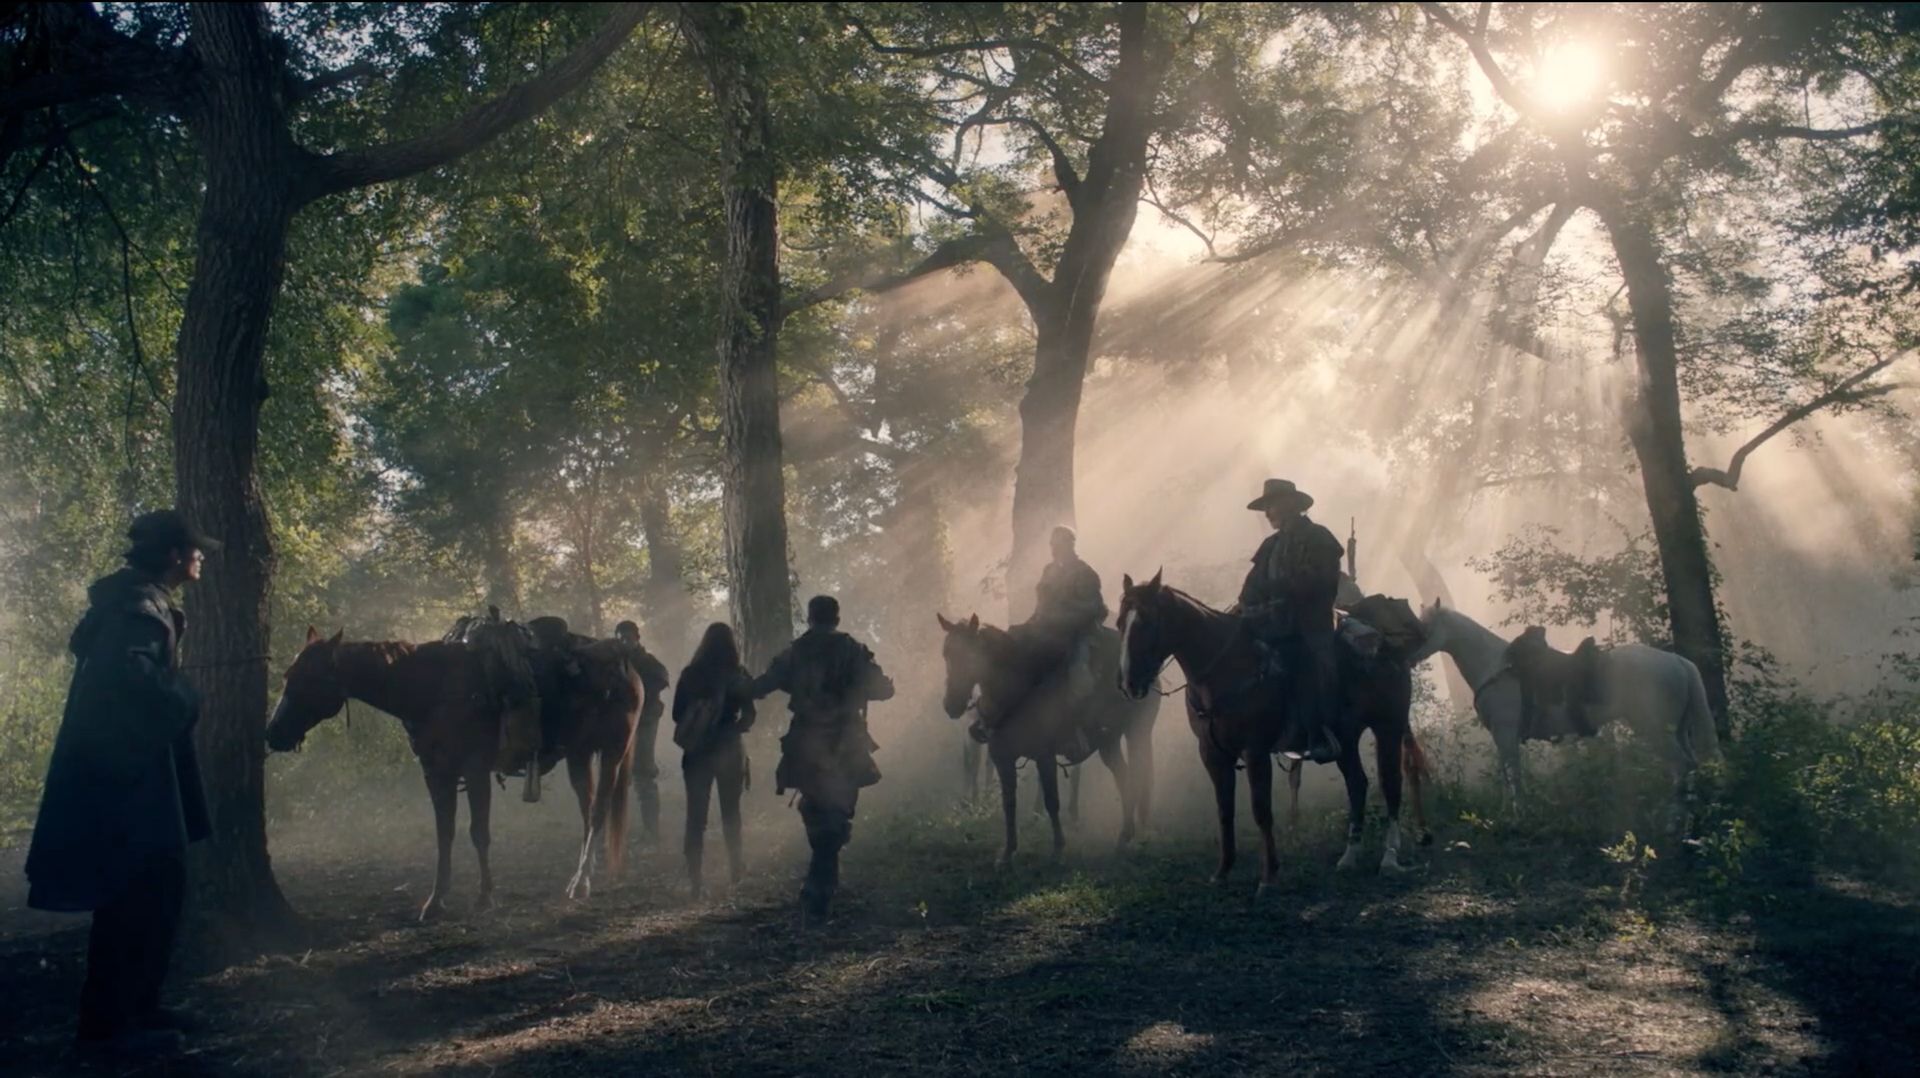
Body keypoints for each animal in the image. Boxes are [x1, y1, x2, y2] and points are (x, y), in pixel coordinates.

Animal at [264, 627, 641, 918]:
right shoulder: (436, 774)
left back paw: (581, 883)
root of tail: (628, 668)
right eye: (287, 676)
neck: (432, 688)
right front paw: (435, 901)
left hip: (612, 753)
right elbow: (444, 834)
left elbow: (479, 832)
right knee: (587, 812)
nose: (272, 733)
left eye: (310, 678)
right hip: (579, 756)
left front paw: (485, 896)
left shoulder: (475, 770)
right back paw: (582, 876)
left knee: (598, 811)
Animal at [937, 613, 1160, 868]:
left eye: (971, 657)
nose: (951, 705)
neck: (1015, 693)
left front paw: (1057, 849)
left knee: (1138, 777)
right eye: (946, 654)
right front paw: (1008, 852)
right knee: (1125, 779)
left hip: (1137, 734)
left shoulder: (1045, 757)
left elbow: (1052, 801)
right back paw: (1124, 838)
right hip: (1109, 744)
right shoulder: (1003, 759)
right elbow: (1009, 802)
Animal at [1116, 572, 1429, 889]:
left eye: (1147, 621)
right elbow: (1224, 810)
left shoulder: (1254, 751)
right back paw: (1349, 856)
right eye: (1120, 624)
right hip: (1347, 738)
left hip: (1388, 726)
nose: (1129, 683)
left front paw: (1268, 876)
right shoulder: (1213, 753)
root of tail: (1386, 645)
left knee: (1391, 784)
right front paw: (1223, 871)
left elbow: (1261, 810)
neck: (1227, 669)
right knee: (1357, 784)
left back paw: (1389, 857)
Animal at [1406, 599, 1719, 815]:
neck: (1496, 667)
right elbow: (1508, 776)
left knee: (1681, 766)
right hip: (1677, 731)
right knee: (1689, 766)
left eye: (1423, 629)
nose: (1406, 657)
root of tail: (1678, 661)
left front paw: (1516, 815)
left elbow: (1512, 775)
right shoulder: (1502, 737)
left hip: (1655, 729)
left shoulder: (1505, 734)